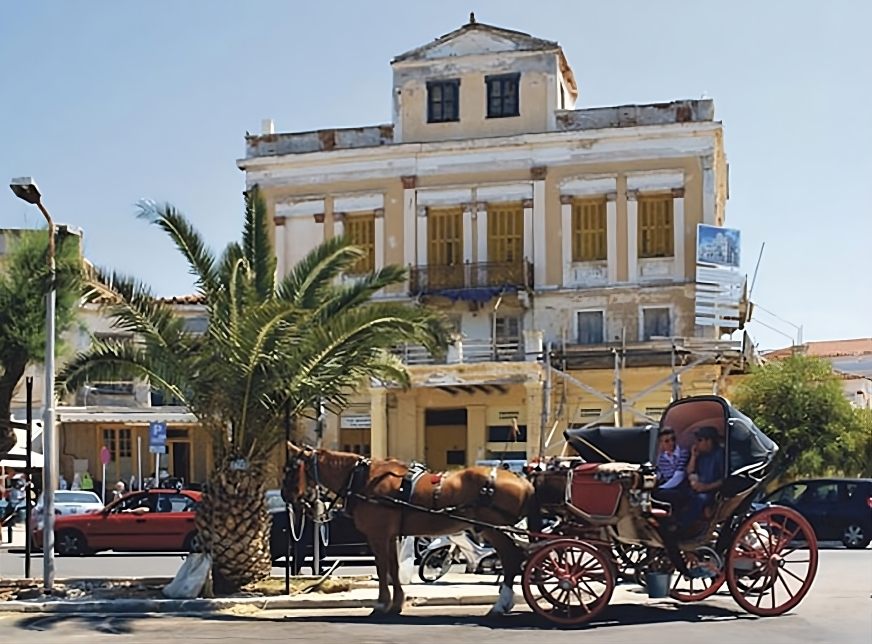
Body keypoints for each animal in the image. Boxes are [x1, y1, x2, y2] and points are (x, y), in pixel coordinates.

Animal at [282, 440, 536, 616]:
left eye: (291, 469)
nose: (285, 496)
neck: (362, 479)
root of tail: (522, 480)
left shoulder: (377, 535)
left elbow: (382, 568)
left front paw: (381, 603)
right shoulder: (390, 536)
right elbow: (393, 569)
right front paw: (396, 603)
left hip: (495, 529)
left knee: (511, 559)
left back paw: (501, 603)